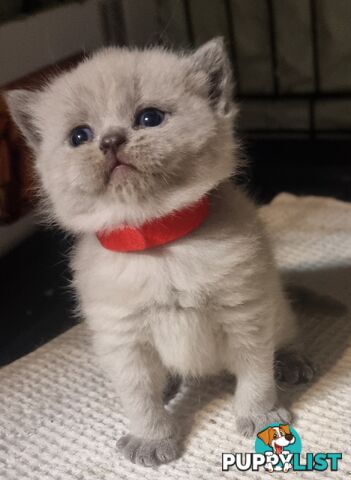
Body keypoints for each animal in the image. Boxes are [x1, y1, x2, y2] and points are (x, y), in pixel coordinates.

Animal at [5, 38, 314, 468]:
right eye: (79, 136)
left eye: (149, 118)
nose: (110, 141)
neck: (160, 247)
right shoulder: (123, 340)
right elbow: (139, 398)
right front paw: (150, 438)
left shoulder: (245, 315)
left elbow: (255, 374)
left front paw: (261, 417)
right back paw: (168, 384)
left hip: (274, 306)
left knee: (288, 331)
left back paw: (292, 362)